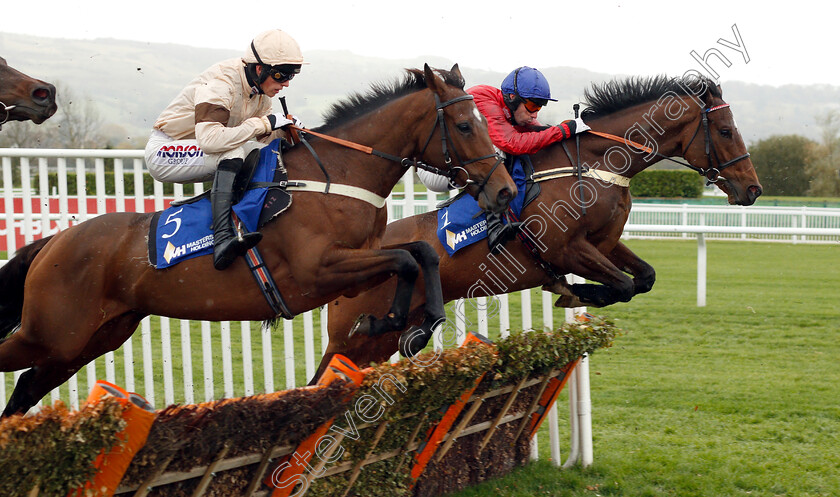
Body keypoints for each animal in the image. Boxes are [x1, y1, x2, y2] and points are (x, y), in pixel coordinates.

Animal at [0, 65, 520, 414]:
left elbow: (420, 253)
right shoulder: (318, 271)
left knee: (26, 388)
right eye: (465, 125)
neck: (338, 174)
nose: (505, 191)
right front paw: (388, 321)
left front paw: (412, 323)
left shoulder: (362, 259)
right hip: (50, 333)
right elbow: (409, 260)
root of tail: (53, 242)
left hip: (84, 341)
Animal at [316, 73, 760, 378]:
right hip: (353, 336)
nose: (753, 188)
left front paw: (576, 292)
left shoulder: (605, 243)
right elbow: (622, 285)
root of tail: (346, 252)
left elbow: (644, 278)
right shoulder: (564, 249)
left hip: (377, 341)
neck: (595, 164)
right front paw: (573, 293)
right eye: (725, 131)